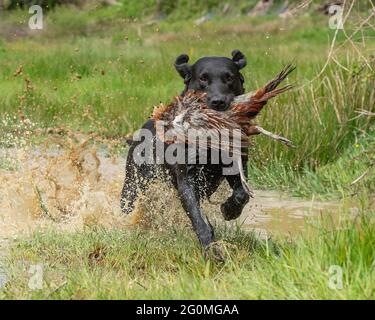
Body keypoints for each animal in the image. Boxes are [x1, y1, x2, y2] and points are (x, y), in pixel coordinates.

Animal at [122, 50, 250, 258]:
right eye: (203, 78)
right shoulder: (186, 181)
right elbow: (199, 219)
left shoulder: (236, 168)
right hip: (133, 185)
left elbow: (242, 194)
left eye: (229, 77)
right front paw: (210, 248)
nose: (218, 102)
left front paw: (229, 210)